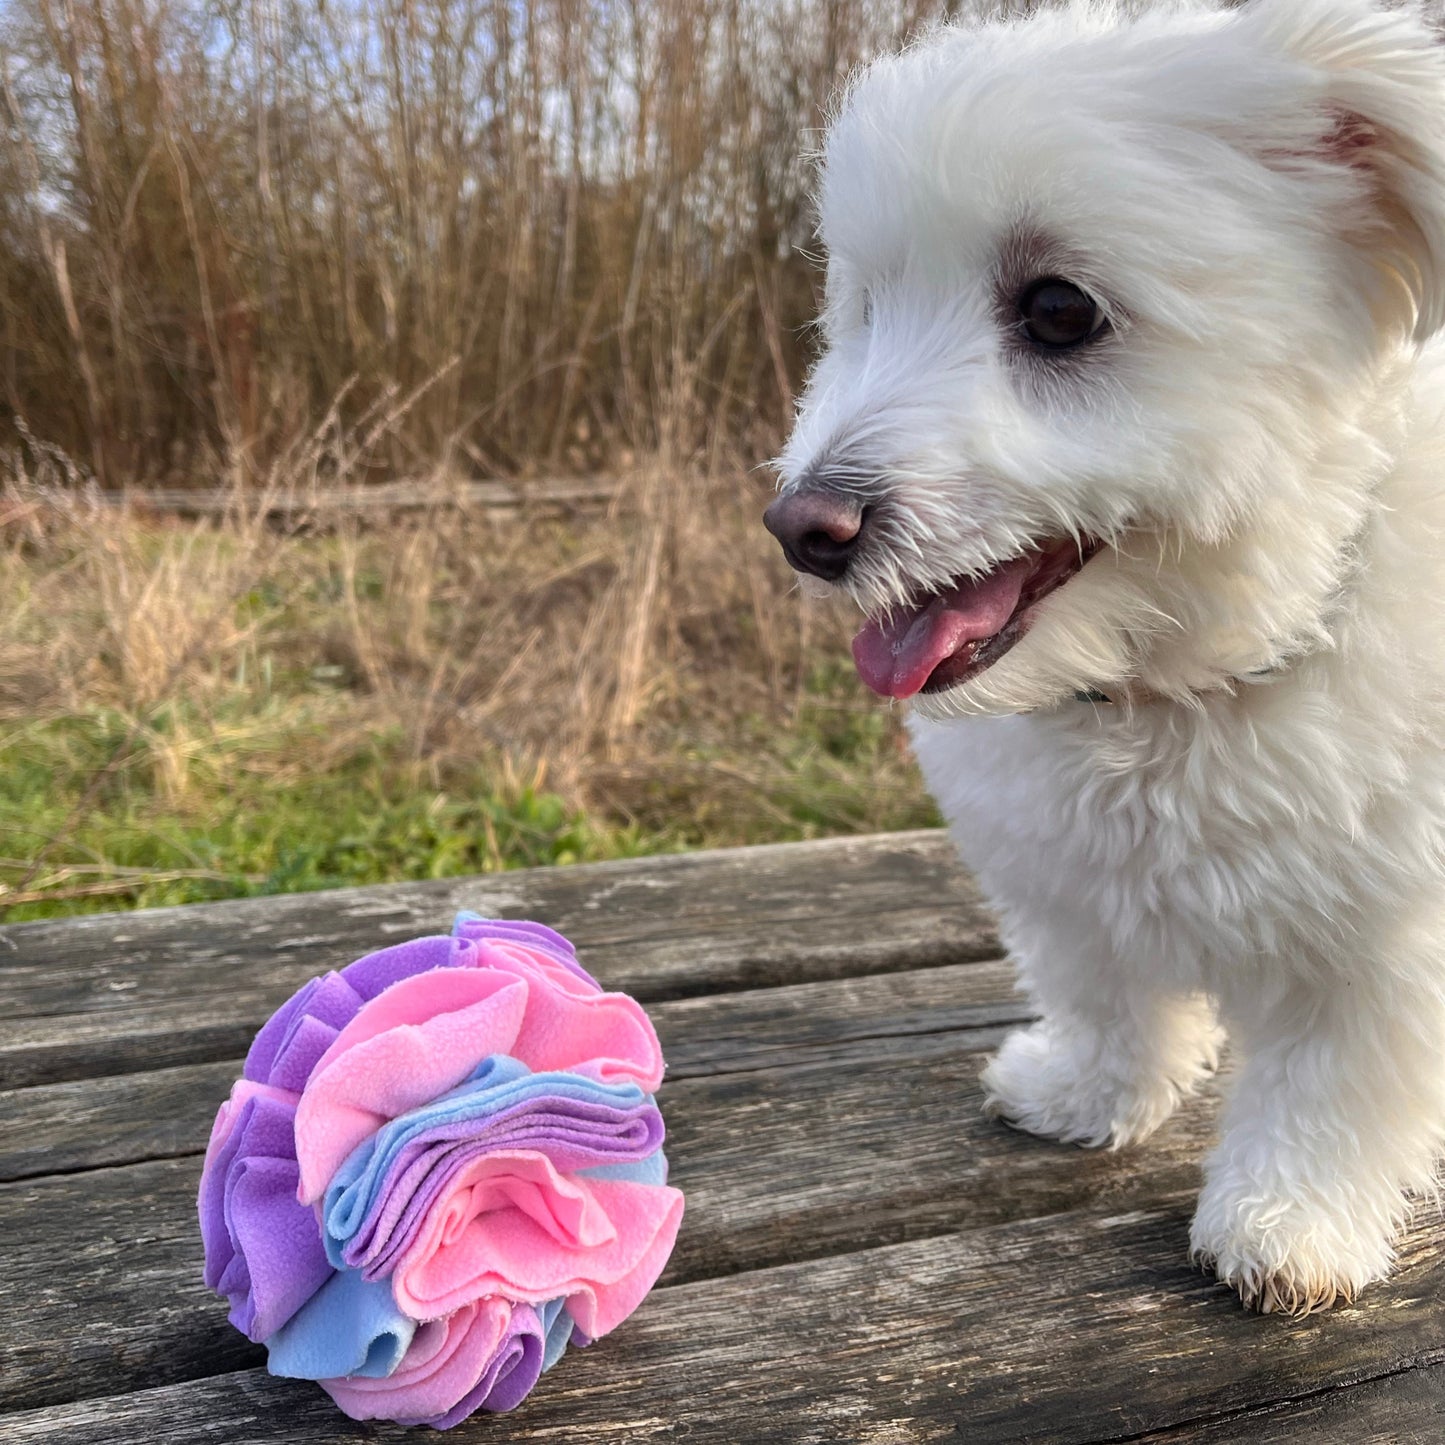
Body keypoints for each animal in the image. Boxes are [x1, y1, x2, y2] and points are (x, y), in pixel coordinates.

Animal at [768, 0, 1445, 1317]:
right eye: (865, 307)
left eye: (1058, 310)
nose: (800, 528)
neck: (1171, 691)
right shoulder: (1063, 884)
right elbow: (1108, 991)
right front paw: (1086, 1091)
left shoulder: (1388, 942)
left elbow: (1332, 1081)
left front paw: (1290, 1217)